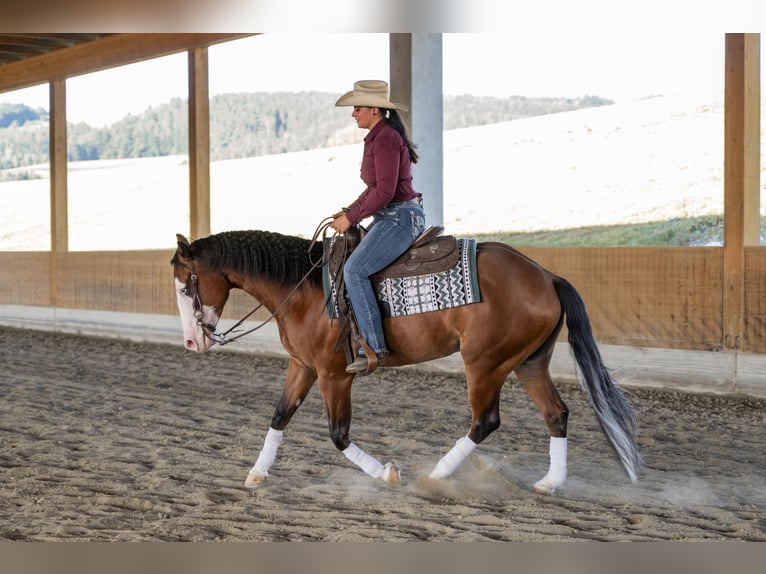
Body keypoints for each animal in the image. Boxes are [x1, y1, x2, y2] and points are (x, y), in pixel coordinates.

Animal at [171, 229, 642, 494]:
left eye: (184, 286)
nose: (193, 342)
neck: (303, 289)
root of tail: (547, 276)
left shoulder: (334, 376)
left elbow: (338, 435)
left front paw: (386, 475)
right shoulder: (302, 367)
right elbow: (279, 415)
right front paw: (256, 473)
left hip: (485, 364)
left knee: (485, 421)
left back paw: (436, 475)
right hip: (528, 363)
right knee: (556, 413)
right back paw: (550, 483)